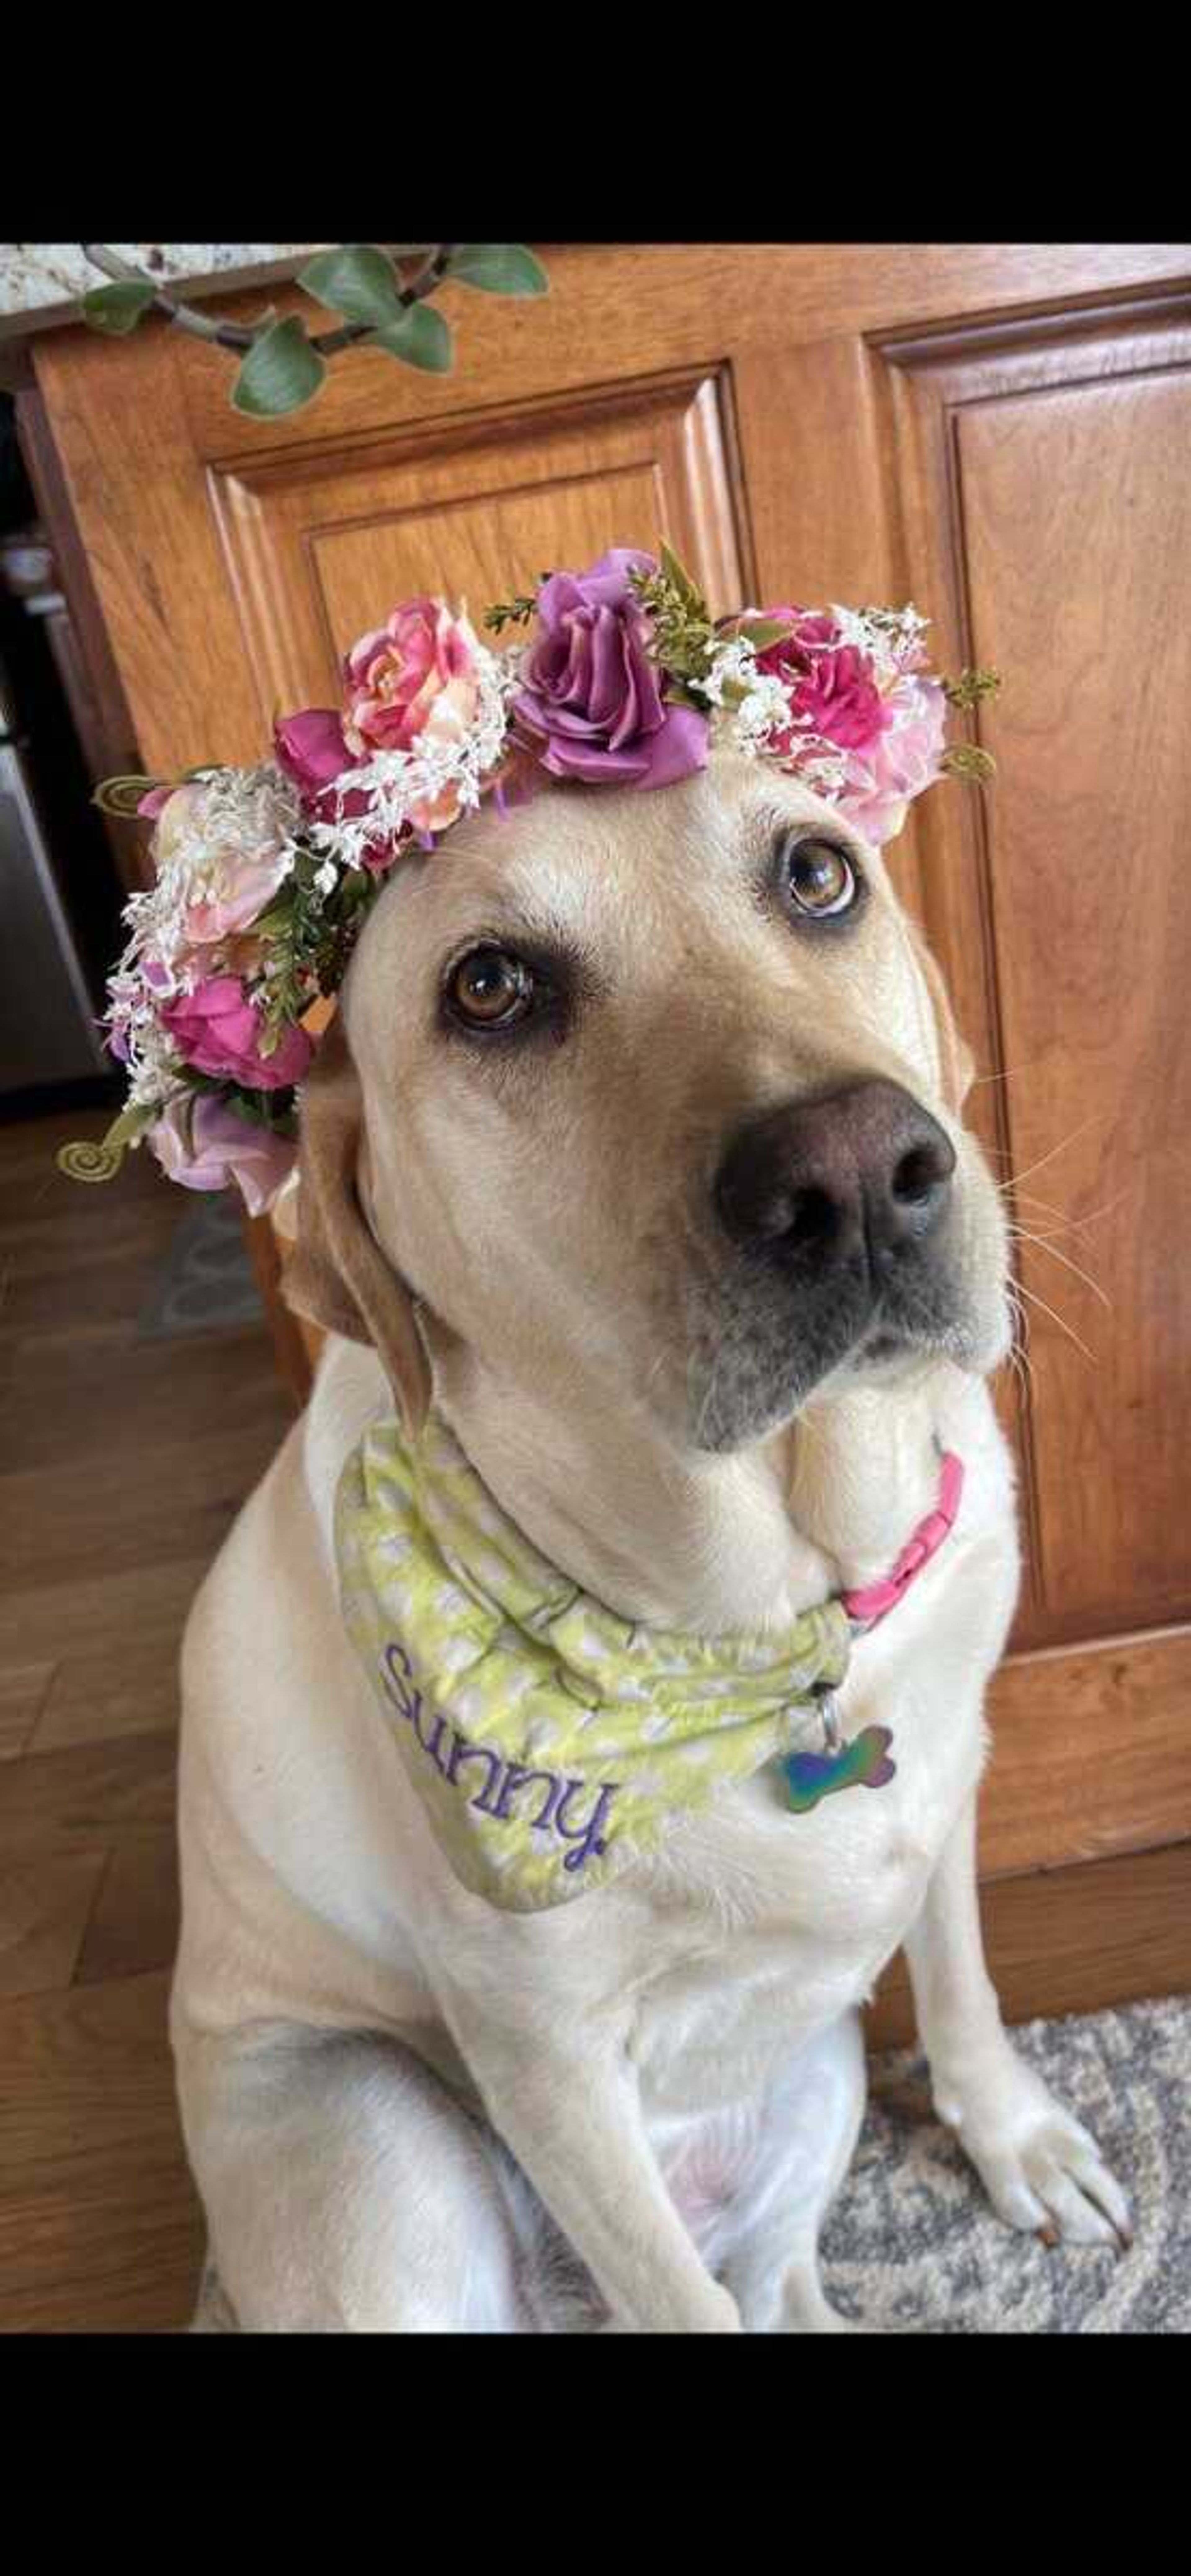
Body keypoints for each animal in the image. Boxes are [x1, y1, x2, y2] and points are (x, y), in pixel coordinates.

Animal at [172, 752, 1129, 2339]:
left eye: (817, 874)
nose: (854, 1174)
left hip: (815, 2078)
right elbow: (678, 2293)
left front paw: (1016, 2136)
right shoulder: (546, 2059)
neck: (783, 1616)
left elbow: (964, 1986)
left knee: (781, 2277)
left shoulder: (947, 1785)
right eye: (490, 986)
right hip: (382, 2152)